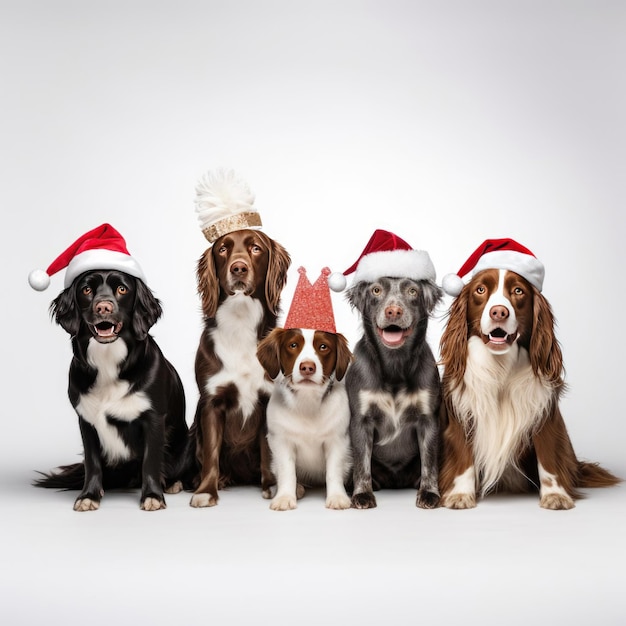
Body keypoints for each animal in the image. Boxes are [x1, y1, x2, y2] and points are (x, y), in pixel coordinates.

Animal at [33, 270, 186, 510]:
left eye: (122, 289)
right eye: (86, 289)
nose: (103, 307)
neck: (108, 361)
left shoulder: (153, 418)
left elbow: (151, 461)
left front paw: (153, 496)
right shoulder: (86, 421)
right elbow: (92, 462)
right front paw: (89, 495)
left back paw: (172, 483)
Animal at [254, 326, 352, 508]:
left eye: (323, 347)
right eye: (293, 345)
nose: (307, 367)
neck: (307, 401)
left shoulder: (337, 440)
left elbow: (334, 471)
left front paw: (336, 496)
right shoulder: (281, 440)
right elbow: (287, 471)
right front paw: (285, 497)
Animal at [436, 239, 616, 508]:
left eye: (518, 291)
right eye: (480, 290)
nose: (499, 312)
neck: (500, 365)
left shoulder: (544, 412)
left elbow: (548, 456)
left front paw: (555, 495)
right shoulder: (463, 411)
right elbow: (463, 456)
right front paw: (460, 494)